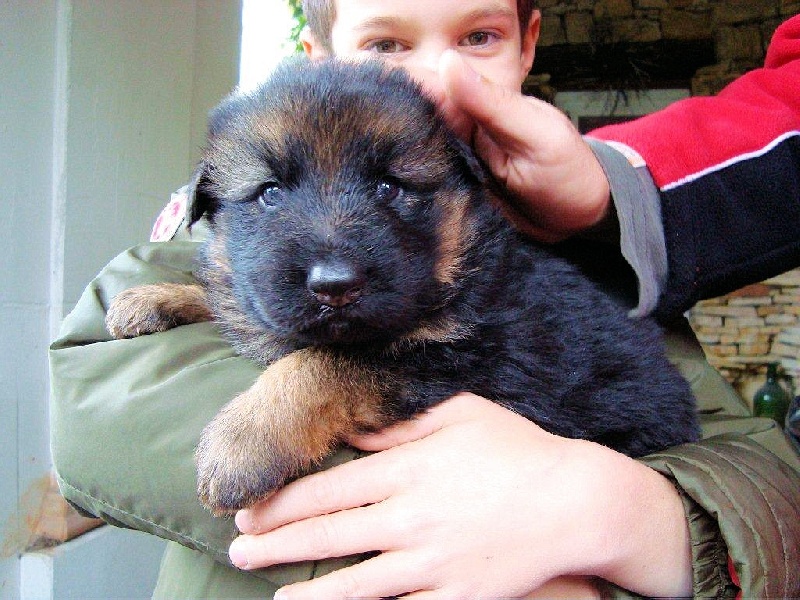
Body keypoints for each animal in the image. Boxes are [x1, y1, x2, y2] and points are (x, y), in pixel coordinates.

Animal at [108, 57, 700, 516]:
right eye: (270, 193)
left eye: (390, 187)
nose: (335, 286)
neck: (455, 271)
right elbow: (233, 296)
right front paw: (153, 297)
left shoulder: (461, 356)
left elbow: (319, 364)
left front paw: (243, 442)